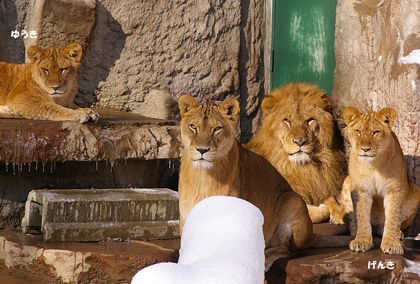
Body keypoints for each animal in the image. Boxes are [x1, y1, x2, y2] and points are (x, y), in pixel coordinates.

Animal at [177, 94, 312, 270]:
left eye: (217, 128)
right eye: (193, 126)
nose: (202, 150)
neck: (203, 176)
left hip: (292, 198)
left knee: (289, 249)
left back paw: (264, 259)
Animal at [244, 83, 346, 223]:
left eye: (309, 120)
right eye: (287, 120)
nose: (300, 142)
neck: (301, 167)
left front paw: (337, 211)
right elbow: (315, 213)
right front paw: (323, 207)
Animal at [342, 107, 420, 255]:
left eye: (375, 132)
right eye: (358, 131)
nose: (365, 149)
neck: (373, 165)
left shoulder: (394, 189)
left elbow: (393, 218)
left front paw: (391, 243)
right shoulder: (360, 190)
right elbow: (361, 216)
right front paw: (361, 241)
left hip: (415, 189)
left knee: (384, 226)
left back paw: (398, 234)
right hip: (347, 182)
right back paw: (354, 232)